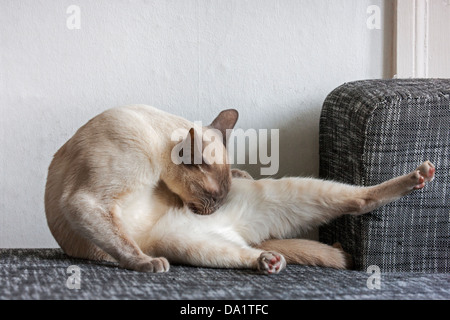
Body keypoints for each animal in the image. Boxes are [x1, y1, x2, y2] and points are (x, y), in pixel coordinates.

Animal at [44, 105, 434, 276]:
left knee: (357, 198)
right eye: (211, 198)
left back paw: (420, 175)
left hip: (289, 194)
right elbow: (123, 244)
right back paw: (268, 261)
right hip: (189, 247)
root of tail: (240, 232)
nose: (215, 210)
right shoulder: (86, 201)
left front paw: (240, 170)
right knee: (242, 254)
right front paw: (145, 264)